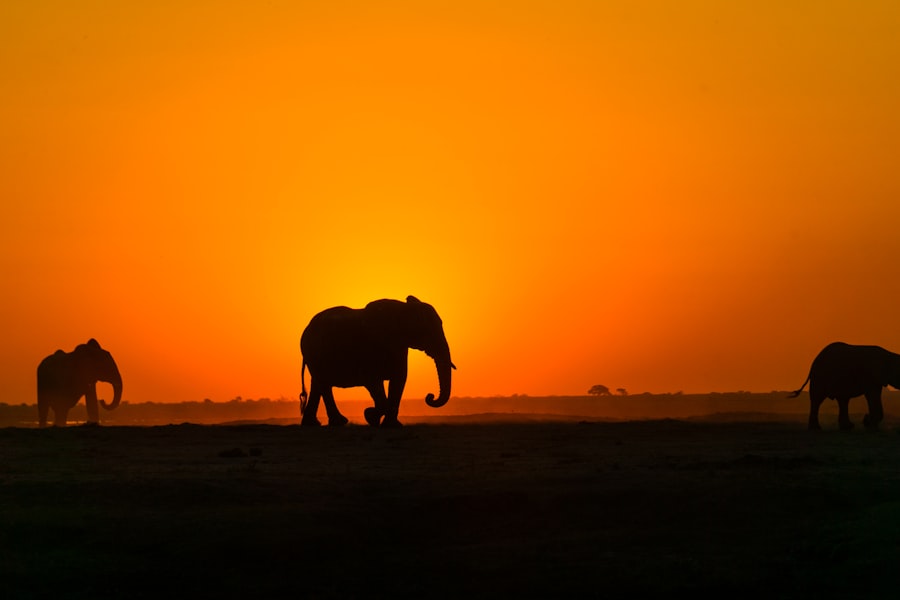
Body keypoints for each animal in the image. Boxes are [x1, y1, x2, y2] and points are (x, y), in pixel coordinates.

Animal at [299, 296, 455, 427]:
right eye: (429, 330)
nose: (430, 396)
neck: (404, 309)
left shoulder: (400, 347)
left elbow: (399, 380)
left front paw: (391, 425)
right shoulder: (372, 348)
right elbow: (373, 381)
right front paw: (370, 416)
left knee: (318, 384)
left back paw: (313, 424)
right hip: (313, 352)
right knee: (323, 384)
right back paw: (339, 422)